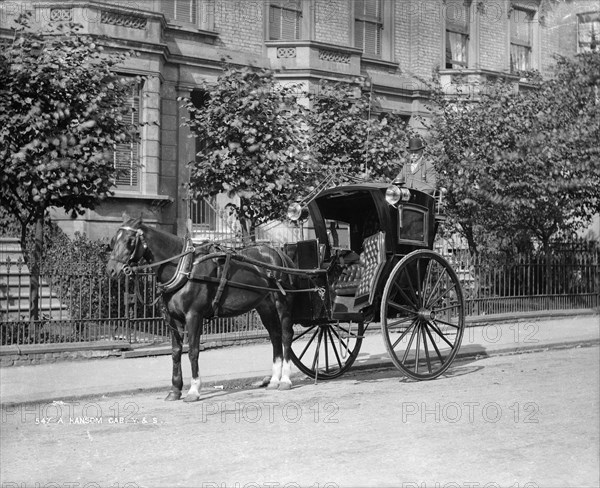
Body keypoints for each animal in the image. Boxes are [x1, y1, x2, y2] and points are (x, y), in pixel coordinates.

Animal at [107, 218, 298, 404]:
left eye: (130, 241)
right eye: (113, 240)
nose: (111, 270)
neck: (185, 268)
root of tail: (278, 253)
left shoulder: (194, 316)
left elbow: (193, 351)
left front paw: (193, 390)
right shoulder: (173, 319)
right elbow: (176, 352)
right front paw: (175, 390)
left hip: (282, 303)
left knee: (286, 335)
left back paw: (285, 380)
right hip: (265, 306)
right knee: (275, 336)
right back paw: (274, 380)